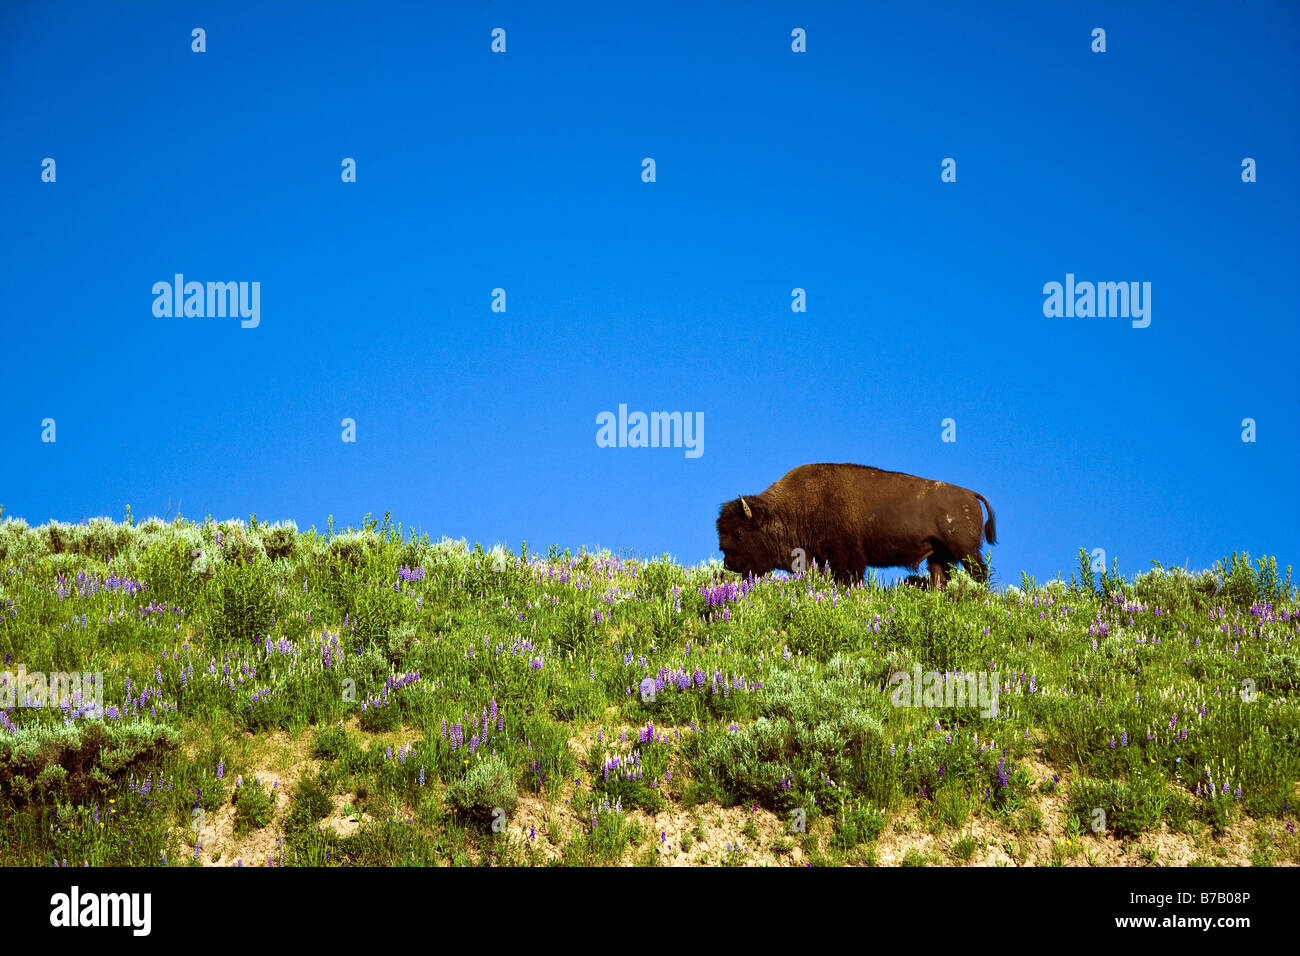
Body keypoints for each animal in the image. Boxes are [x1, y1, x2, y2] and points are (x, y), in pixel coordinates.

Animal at [717, 465, 998, 590]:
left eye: (739, 531)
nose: (729, 563)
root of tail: (970, 494)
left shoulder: (847, 556)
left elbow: (849, 578)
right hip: (940, 555)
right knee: (940, 577)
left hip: (964, 549)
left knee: (979, 573)